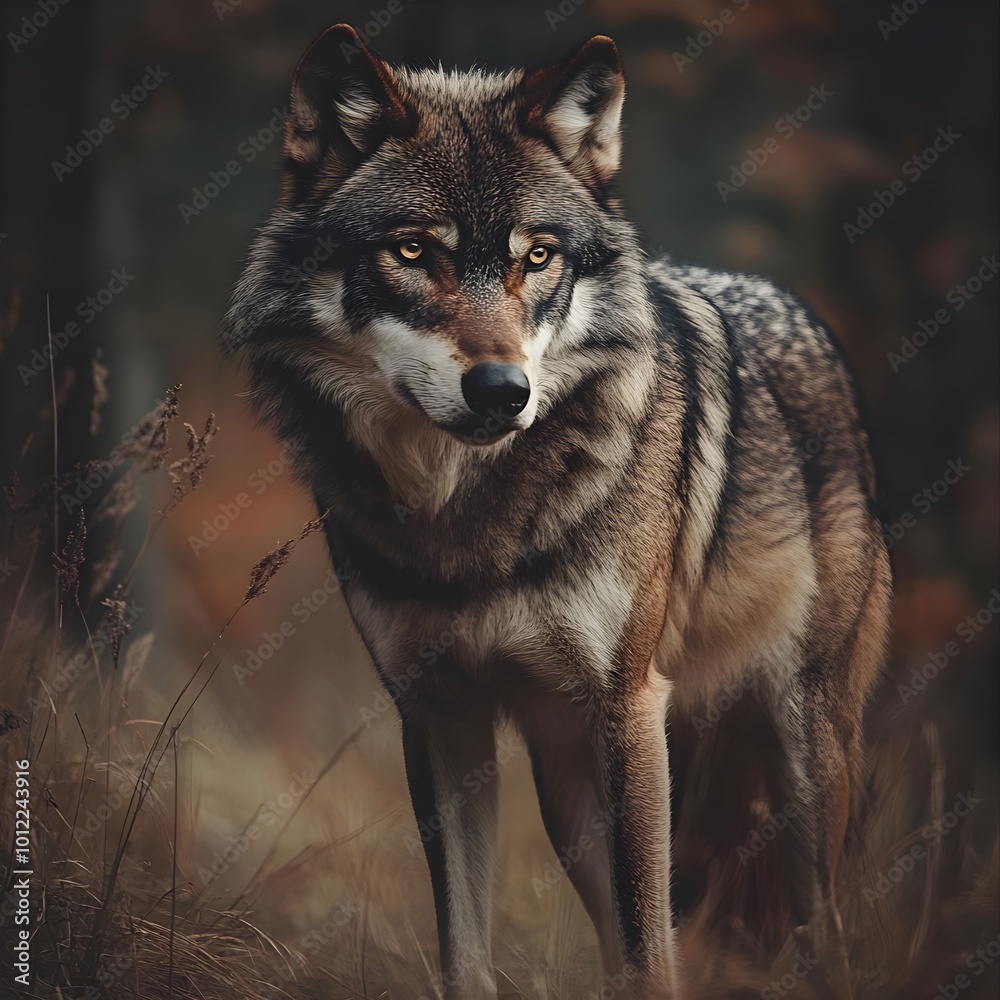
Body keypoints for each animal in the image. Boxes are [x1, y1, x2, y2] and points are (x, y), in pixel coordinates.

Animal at [223, 23, 892, 999]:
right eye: (413, 252)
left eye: (537, 256)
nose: (503, 391)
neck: (468, 517)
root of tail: (803, 315)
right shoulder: (440, 716)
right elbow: (467, 953)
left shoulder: (629, 707)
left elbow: (652, 956)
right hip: (568, 787)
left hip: (796, 756)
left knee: (822, 934)